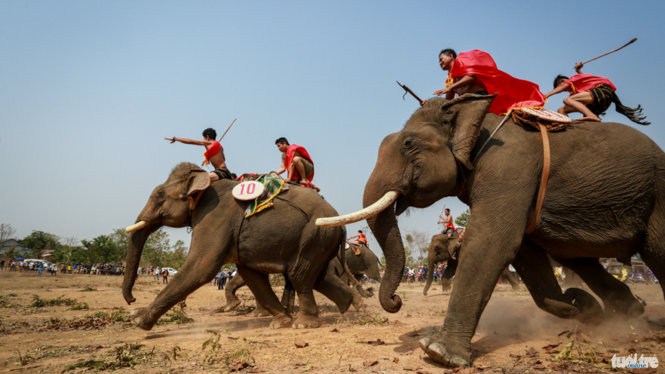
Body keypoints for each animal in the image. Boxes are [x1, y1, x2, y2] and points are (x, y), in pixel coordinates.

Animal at [120, 164, 358, 330]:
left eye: (159, 195)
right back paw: (352, 307)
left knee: (300, 275)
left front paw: (139, 320)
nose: (131, 300)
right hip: (320, 240)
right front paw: (280, 322)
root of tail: (339, 222)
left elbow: (201, 267)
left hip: (314, 234)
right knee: (317, 277)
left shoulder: (215, 216)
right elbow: (250, 273)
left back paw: (304, 324)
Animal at [320, 95, 660, 366]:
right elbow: (525, 254)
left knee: (655, 251)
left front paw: (439, 353)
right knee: (575, 257)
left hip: (658, 195)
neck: (476, 118)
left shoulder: (508, 168)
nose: (397, 300)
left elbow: (492, 244)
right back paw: (627, 312)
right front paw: (581, 306)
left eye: (408, 144)